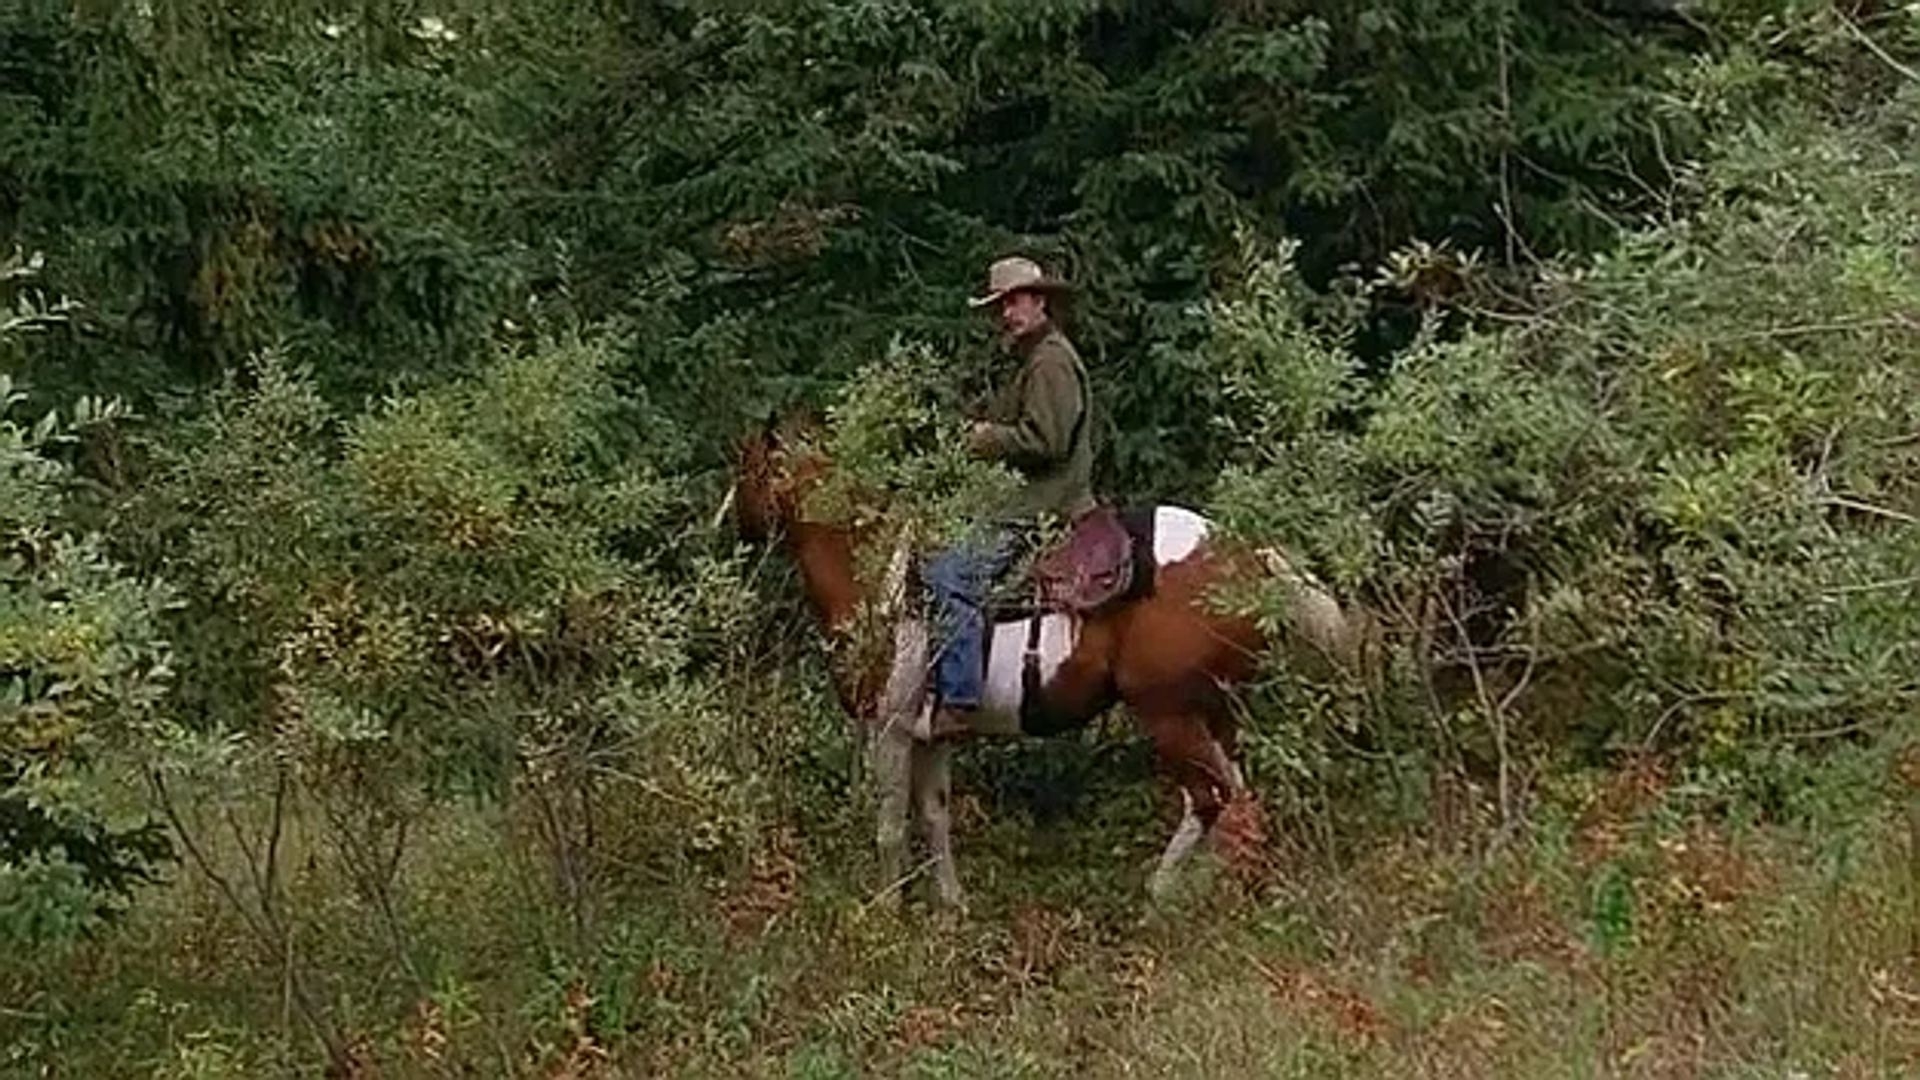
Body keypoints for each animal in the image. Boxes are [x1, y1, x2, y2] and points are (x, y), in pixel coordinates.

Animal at [721, 413, 1382, 907]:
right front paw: (950, 905)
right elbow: (934, 817)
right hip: (1216, 710)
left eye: (745, 467)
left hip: (1168, 712)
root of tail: (1249, 558)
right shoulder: (932, 735)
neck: (875, 574)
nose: (732, 527)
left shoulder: (891, 729)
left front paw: (885, 912)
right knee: (1235, 792)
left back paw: (1163, 889)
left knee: (1210, 796)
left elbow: (890, 828)